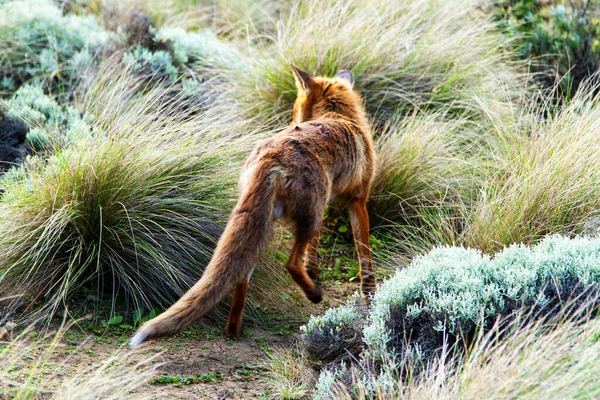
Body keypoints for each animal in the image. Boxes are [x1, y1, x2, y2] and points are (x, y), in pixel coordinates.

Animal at [130, 64, 376, 346]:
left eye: (294, 110)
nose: (292, 123)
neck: (342, 117)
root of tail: (270, 155)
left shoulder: (328, 204)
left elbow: (314, 253)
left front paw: (314, 272)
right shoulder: (357, 200)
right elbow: (365, 257)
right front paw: (370, 295)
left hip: (267, 226)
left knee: (241, 278)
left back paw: (233, 331)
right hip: (304, 218)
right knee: (291, 264)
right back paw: (313, 294)